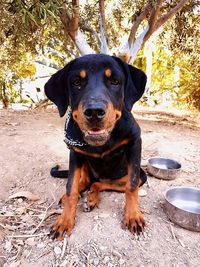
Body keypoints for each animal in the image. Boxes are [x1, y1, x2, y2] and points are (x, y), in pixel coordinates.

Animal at [45, 54, 147, 241]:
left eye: (114, 81)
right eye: (76, 82)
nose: (94, 112)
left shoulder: (135, 143)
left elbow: (131, 186)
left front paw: (133, 216)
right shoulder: (75, 152)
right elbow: (71, 187)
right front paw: (64, 220)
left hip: (141, 175)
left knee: (102, 183)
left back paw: (92, 196)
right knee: (86, 181)